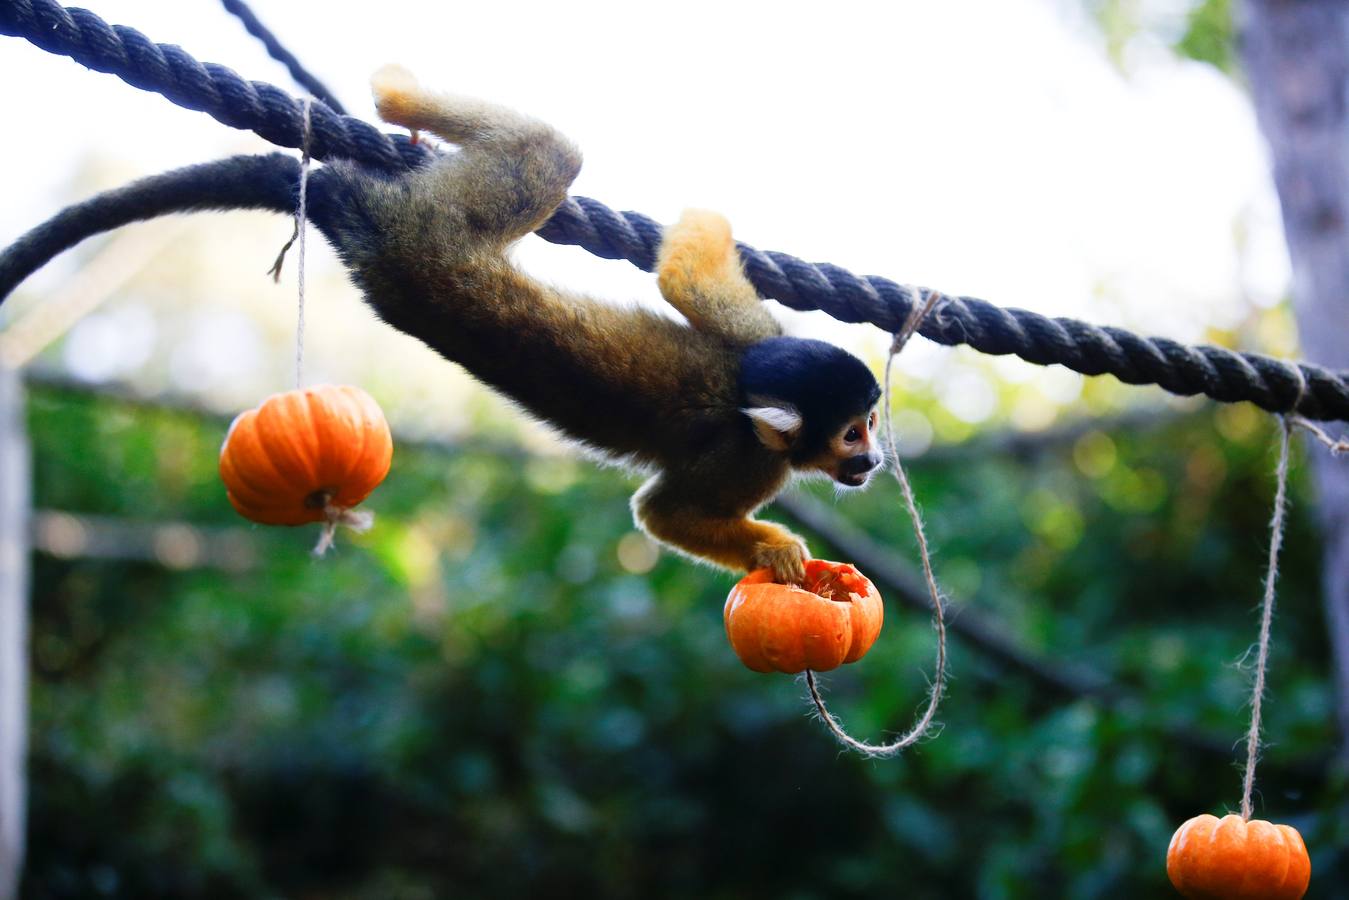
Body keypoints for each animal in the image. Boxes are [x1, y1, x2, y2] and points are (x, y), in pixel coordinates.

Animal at [298, 65, 886, 584]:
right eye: (851, 434)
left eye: (872, 422)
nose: (875, 459)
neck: (748, 403)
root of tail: (399, 235)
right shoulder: (749, 461)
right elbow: (662, 513)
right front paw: (775, 549)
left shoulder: (756, 340)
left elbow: (685, 281)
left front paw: (708, 219)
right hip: (445, 219)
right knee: (550, 153)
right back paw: (394, 91)